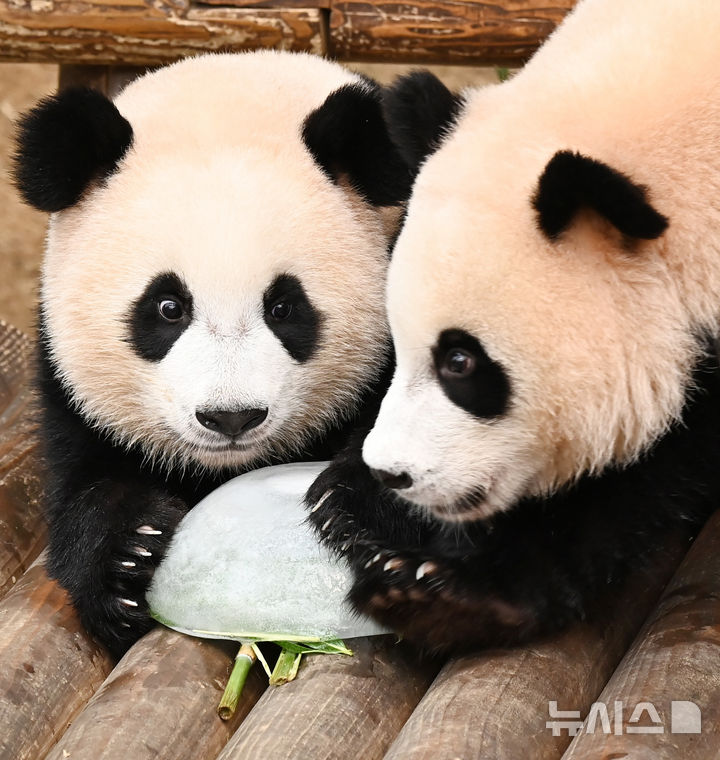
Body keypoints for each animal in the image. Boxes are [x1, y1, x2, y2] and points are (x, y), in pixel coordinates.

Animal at [15, 52, 410, 660]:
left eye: (284, 306)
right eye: (168, 307)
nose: (231, 417)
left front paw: (355, 513)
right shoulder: (65, 383)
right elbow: (86, 482)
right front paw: (126, 556)